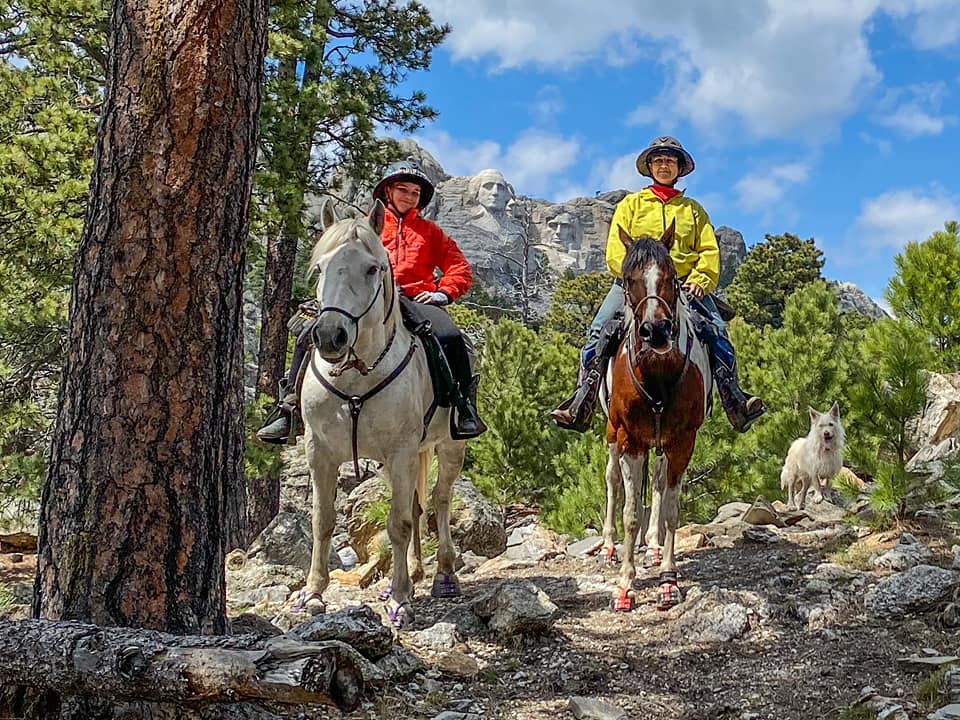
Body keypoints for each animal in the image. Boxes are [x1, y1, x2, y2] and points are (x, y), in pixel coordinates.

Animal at [298, 200, 466, 628]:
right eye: (319, 268)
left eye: (373, 268)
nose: (330, 336)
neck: (357, 376)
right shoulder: (319, 452)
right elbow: (322, 521)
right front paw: (313, 594)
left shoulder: (401, 451)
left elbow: (399, 523)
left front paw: (402, 601)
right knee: (419, 504)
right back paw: (414, 572)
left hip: (448, 447)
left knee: (439, 500)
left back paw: (443, 574)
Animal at [604, 222, 708, 612]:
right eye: (628, 277)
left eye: (672, 276)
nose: (656, 331)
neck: (657, 374)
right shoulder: (630, 440)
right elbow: (631, 513)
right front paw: (624, 585)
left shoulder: (682, 441)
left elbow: (670, 510)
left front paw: (667, 579)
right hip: (611, 435)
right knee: (612, 481)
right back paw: (608, 547)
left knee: (660, 486)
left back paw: (652, 546)